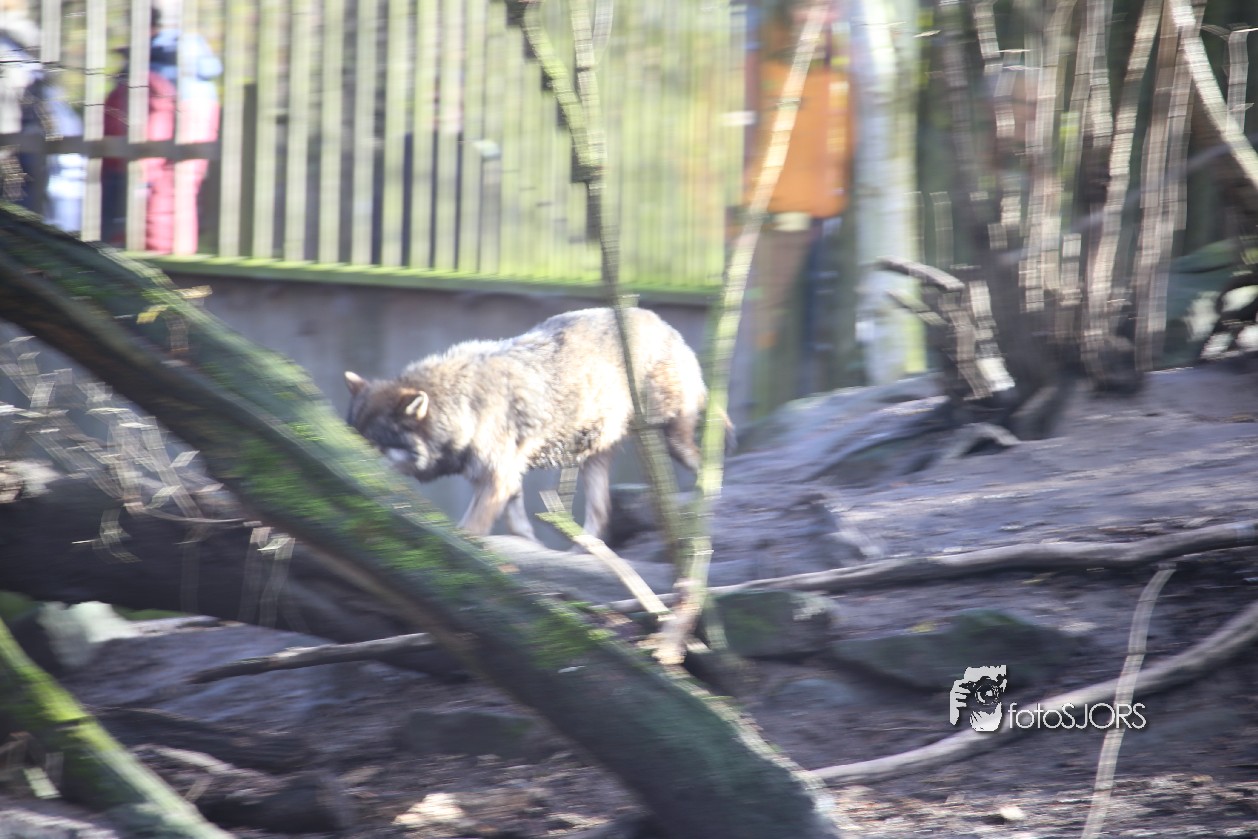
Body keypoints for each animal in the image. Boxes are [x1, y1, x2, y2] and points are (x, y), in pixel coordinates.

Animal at [345, 307, 725, 541]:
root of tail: (668, 327)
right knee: (600, 515)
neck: (463, 406)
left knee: (709, 465)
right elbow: (518, 525)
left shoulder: (497, 477)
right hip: (594, 457)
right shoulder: (506, 476)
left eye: (372, 444)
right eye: (354, 437)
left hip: (670, 439)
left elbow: (471, 528)